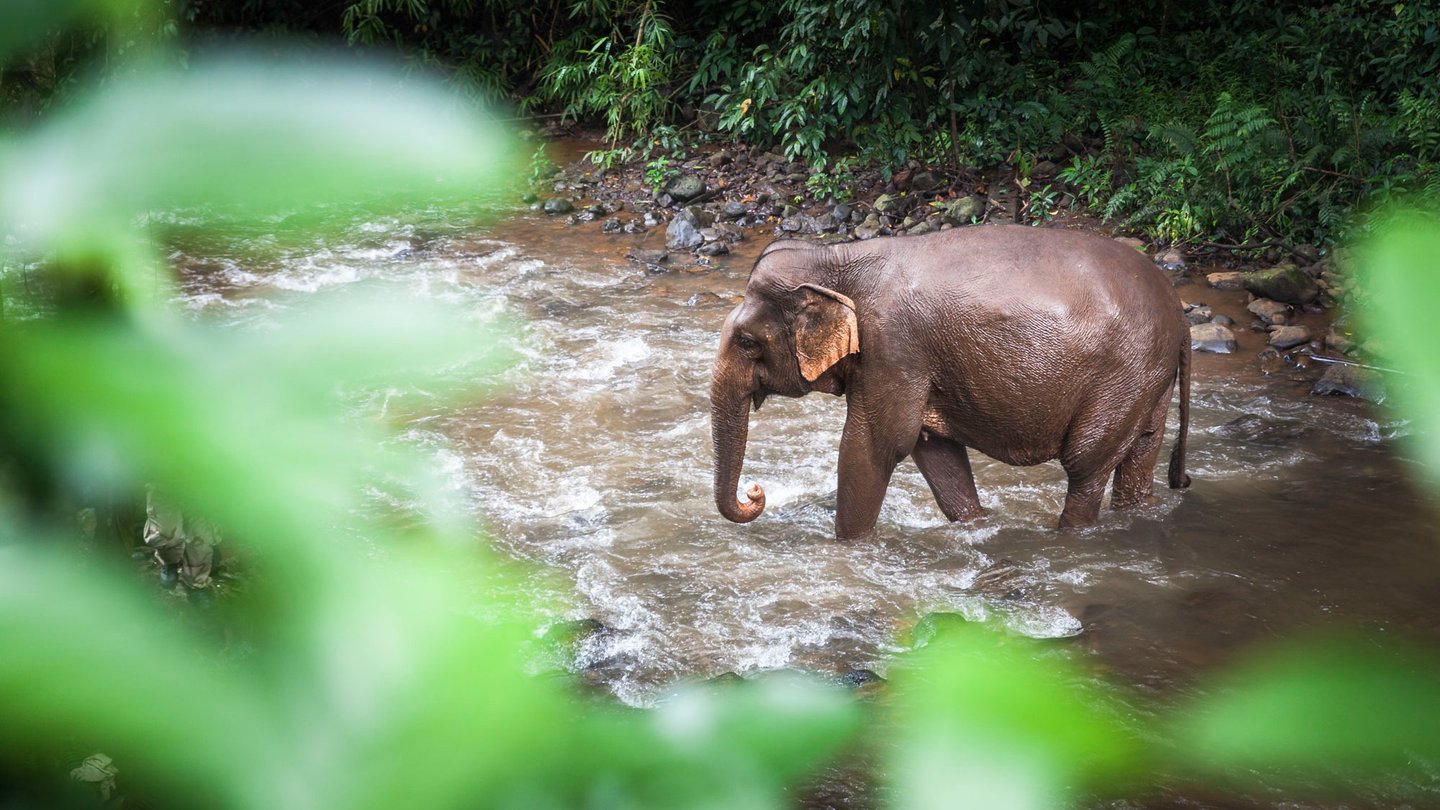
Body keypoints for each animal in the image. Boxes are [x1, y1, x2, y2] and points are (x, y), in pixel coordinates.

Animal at [710, 224, 1191, 539]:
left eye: (748, 342)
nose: (756, 491)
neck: (835, 258)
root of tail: (1179, 311)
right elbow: (934, 450)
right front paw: (975, 526)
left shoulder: (894, 348)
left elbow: (875, 447)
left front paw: (847, 549)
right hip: (1149, 379)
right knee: (1139, 456)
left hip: (1123, 377)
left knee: (1086, 465)